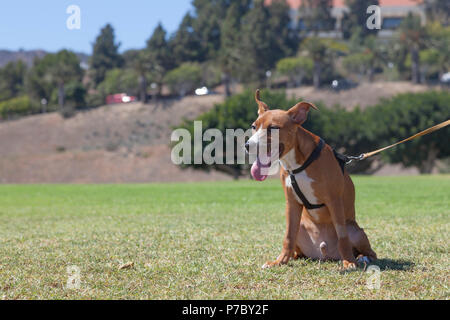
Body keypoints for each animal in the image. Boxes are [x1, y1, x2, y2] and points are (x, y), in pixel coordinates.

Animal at [246, 90, 376, 270]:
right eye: (254, 126)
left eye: (274, 128)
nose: (248, 145)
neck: (297, 163)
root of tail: (324, 252)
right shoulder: (291, 202)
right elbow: (288, 237)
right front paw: (279, 261)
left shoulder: (334, 200)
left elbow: (343, 238)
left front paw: (349, 262)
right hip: (301, 225)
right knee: (295, 245)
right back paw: (292, 257)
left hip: (354, 229)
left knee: (368, 251)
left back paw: (361, 258)